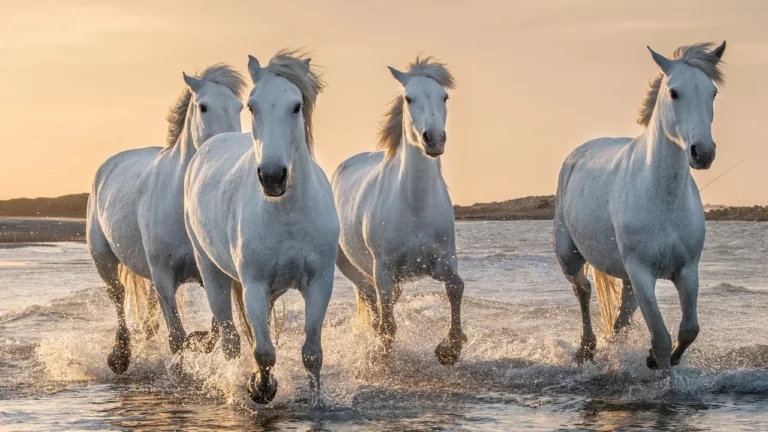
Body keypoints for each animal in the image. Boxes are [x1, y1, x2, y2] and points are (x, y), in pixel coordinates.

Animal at [87, 64, 247, 374]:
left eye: (239, 107)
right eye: (203, 106)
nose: (227, 148)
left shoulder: (210, 273)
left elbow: (214, 330)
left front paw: (198, 342)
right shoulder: (164, 276)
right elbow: (176, 337)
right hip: (103, 259)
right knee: (118, 296)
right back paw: (120, 356)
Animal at [184, 50, 338, 409]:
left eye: (296, 105)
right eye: (252, 106)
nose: (271, 176)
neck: (288, 214)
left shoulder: (319, 283)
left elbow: (312, 353)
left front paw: (317, 404)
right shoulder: (253, 285)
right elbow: (264, 351)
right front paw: (260, 388)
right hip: (212, 273)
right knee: (230, 339)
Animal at [332, 56, 466, 365]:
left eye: (444, 96)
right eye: (408, 98)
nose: (434, 140)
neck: (415, 205)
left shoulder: (443, 261)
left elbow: (457, 287)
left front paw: (450, 349)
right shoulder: (383, 269)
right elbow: (387, 325)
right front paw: (382, 358)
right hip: (350, 265)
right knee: (370, 299)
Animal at [553, 42, 726, 374]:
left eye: (713, 93)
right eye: (674, 92)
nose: (703, 153)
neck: (662, 199)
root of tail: (578, 154)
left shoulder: (687, 271)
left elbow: (688, 330)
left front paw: (657, 360)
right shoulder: (642, 272)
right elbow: (660, 337)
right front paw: (663, 373)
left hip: (626, 277)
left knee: (620, 318)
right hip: (569, 256)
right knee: (583, 291)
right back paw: (586, 350)